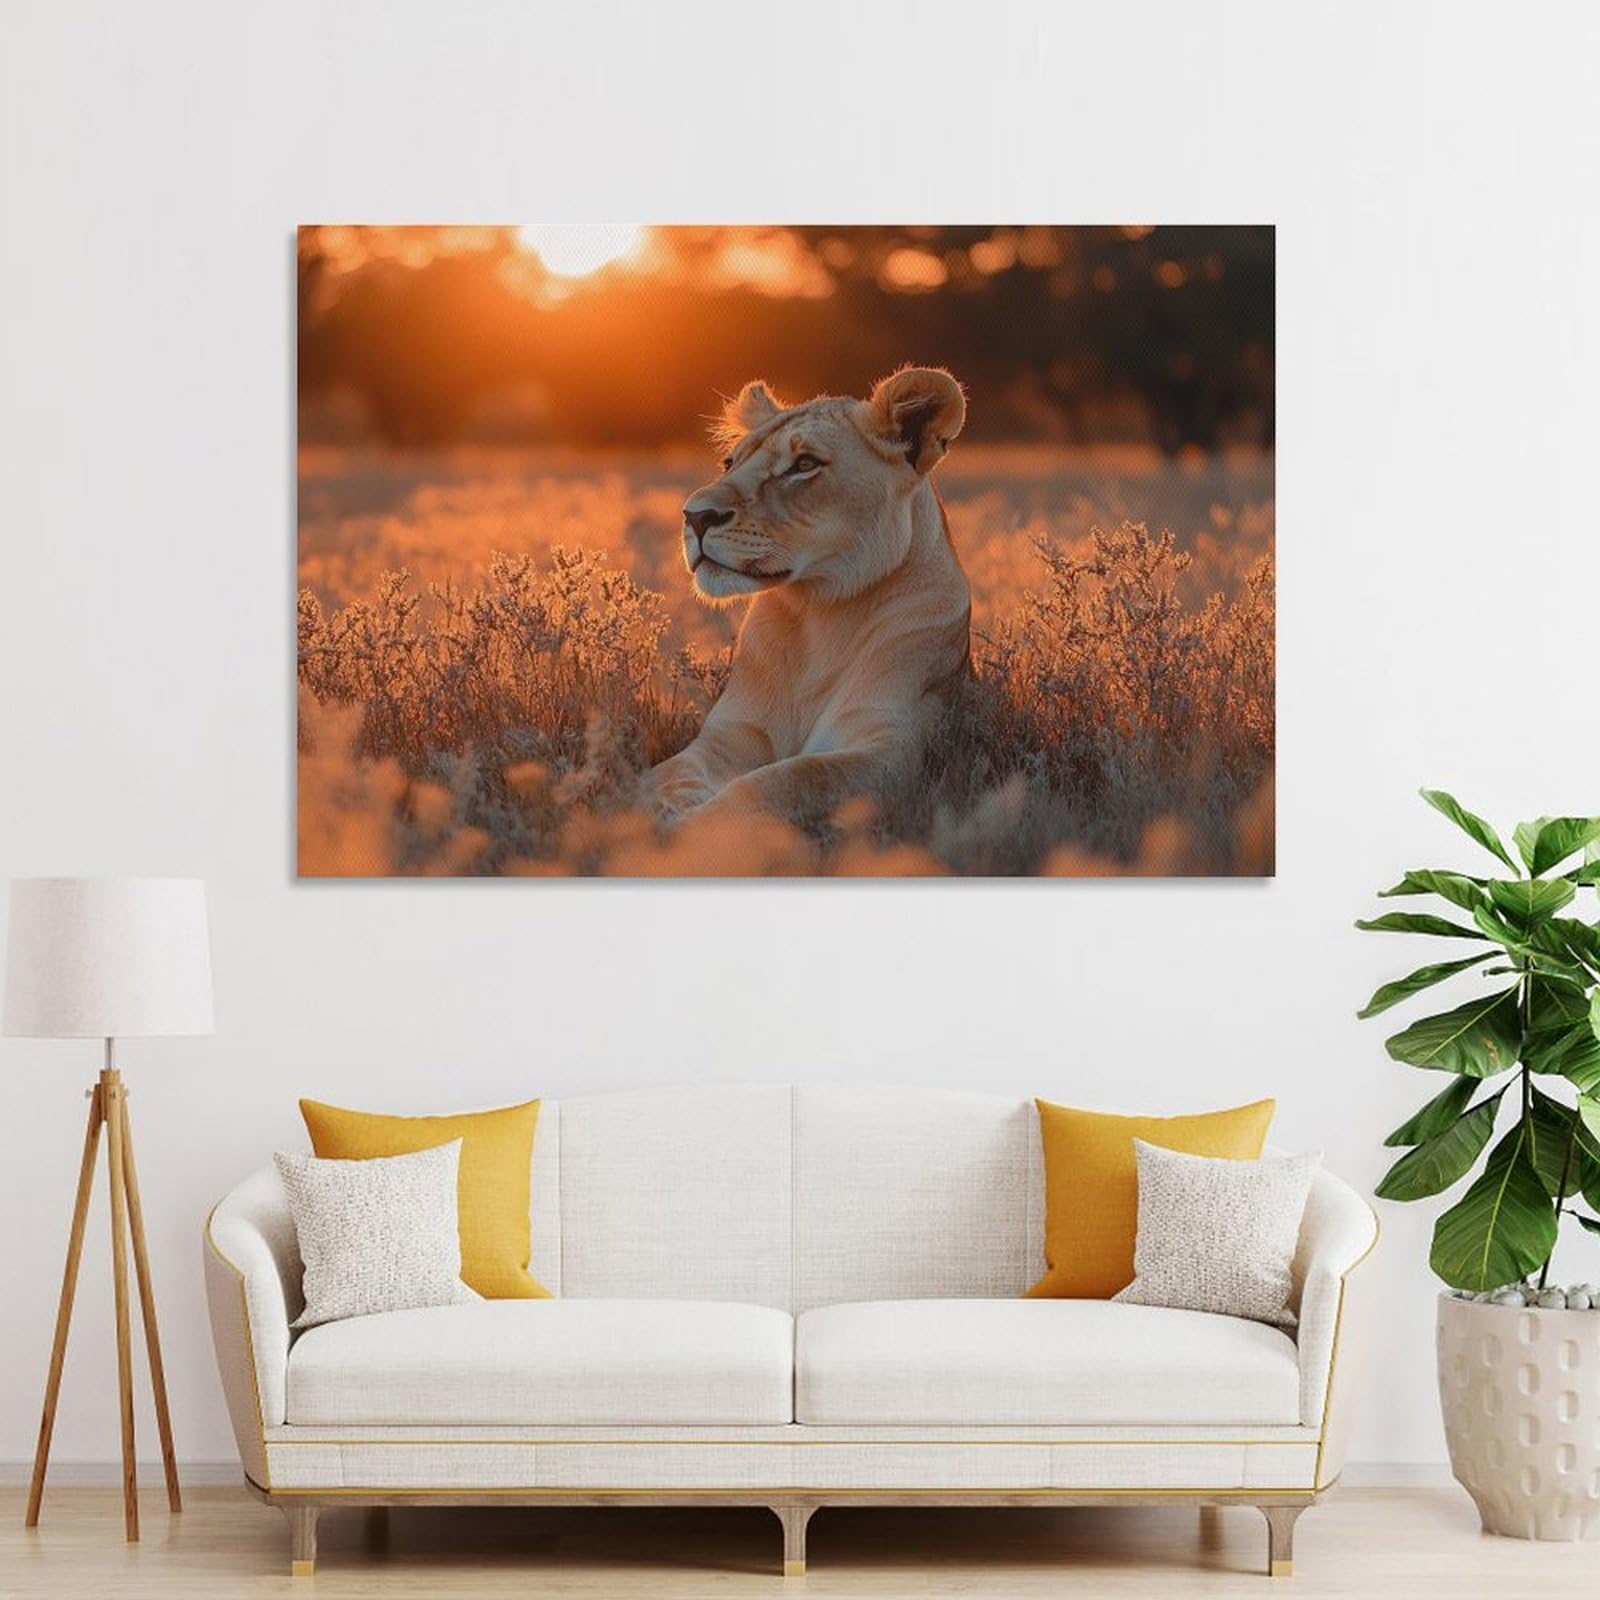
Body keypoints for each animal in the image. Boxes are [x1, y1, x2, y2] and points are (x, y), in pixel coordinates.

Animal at [646, 366, 972, 825]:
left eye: (804, 465)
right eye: (730, 462)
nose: (695, 516)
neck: (821, 612)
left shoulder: (891, 754)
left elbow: (787, 780)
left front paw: (694, 827)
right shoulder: (728, 736)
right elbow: (666, 776)